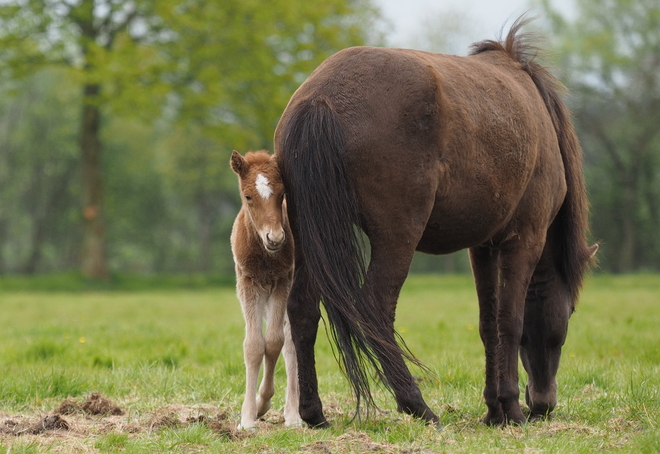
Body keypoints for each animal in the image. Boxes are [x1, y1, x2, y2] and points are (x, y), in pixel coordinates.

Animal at [276, 17, 596, 428]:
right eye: (569, 313)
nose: (543, 403)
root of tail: (322, 97)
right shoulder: (524, 238)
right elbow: (510, 321)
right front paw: (510, 409)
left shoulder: (483, 247)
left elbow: (488, 325)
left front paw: (494, 410)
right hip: (398, 236)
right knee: (375, 308)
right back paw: (417, 404)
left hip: (312, 236)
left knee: (302, 309)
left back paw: (314, 413)